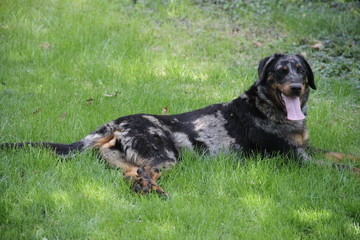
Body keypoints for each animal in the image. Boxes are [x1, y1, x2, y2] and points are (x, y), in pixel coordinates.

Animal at [1, 53, 358, 195]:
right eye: (281, 71)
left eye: (300, 70)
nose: (296, 87)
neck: (268, 109)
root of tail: (116, 122)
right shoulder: (297, 160)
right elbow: (344, 166)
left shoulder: (308, 150)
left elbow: (345, 155)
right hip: (166, 156)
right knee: (145, 174)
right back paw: (156, 193)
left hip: (126, 161)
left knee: (133, 175)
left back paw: (150, 192)